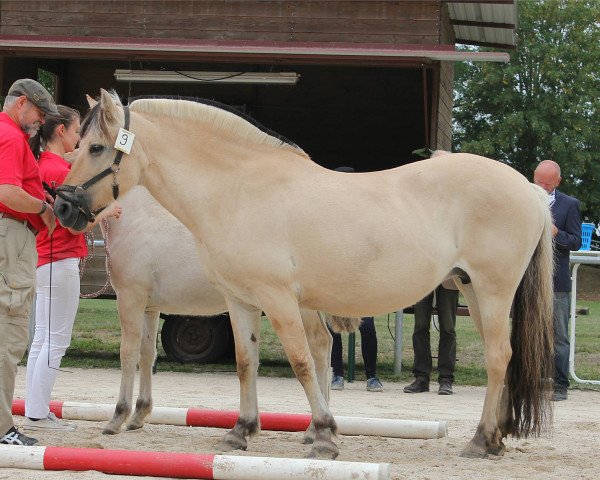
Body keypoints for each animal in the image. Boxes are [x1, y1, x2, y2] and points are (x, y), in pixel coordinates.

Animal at [55, 90, 552, 458]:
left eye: (96, 147)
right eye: (76, 145)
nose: (62, 206)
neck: (237, 190)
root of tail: (528, 188)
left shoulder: (277, 299)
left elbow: (300, 361)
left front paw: (325, 435)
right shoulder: (239, 300)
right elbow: (246, 362)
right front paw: (241, 430)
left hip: (492, 291)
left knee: (498, 358)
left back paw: (482, 440)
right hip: (476, 291)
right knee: (503, 359)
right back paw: (497, 437)